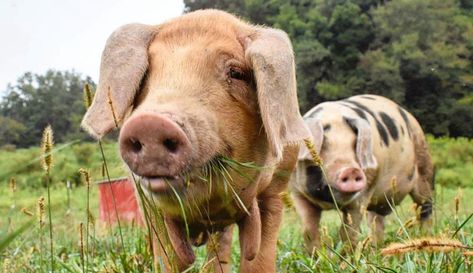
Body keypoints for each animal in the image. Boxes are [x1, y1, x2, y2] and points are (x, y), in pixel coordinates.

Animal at [81, 9, 310, 272]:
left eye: (236, 73)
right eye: (147, 74)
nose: (150, 123)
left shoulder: (275, 192)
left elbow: (259, 259)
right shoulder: (148, 203)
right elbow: (169, 258)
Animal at [292, 94, 436, 251]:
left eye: (354, 144)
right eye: (324, 145)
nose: (351, 170)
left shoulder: (361, 196)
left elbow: (348, 232)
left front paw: (346, 256)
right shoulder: (297, 194)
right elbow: (308, 230)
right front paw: (316, 255)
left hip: (424, 168)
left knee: (426, 208)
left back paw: (426, 237)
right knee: (377, 222)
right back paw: (376, 248)